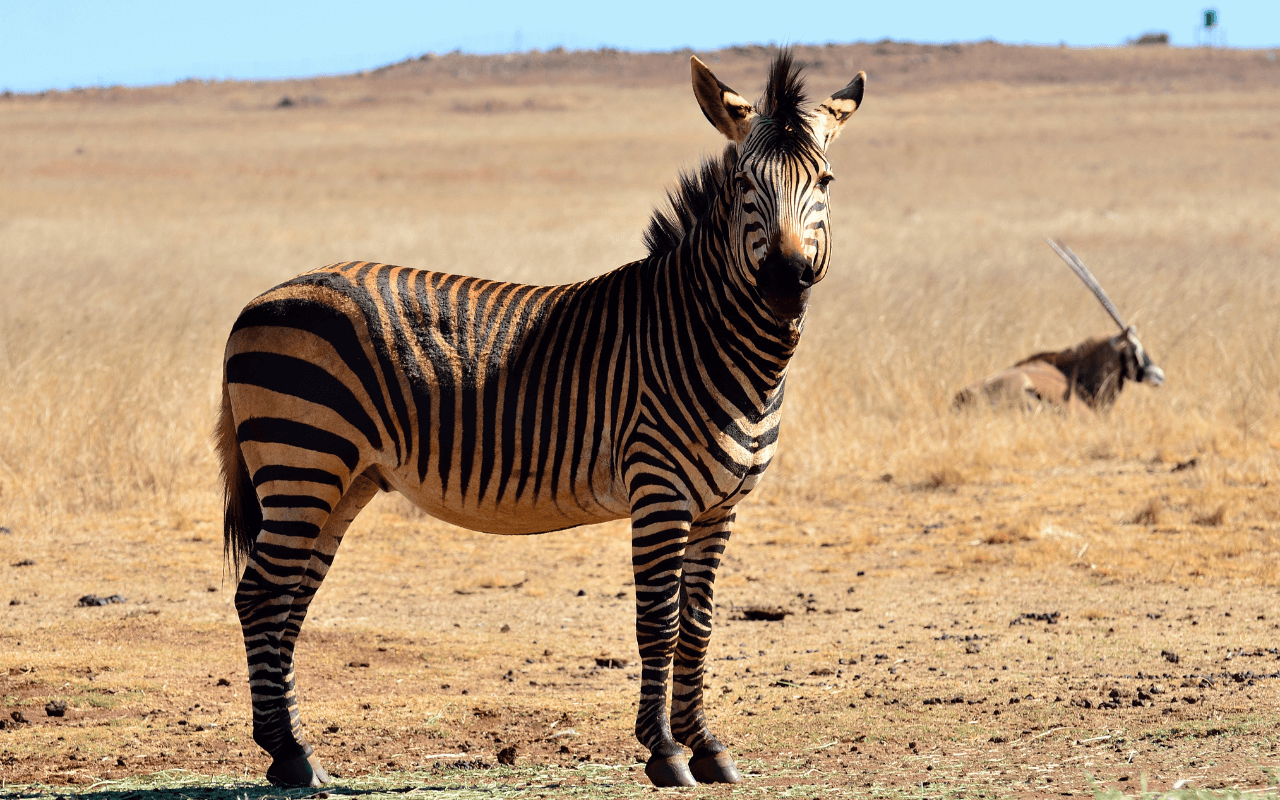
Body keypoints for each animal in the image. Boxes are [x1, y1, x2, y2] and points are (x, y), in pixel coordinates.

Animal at [220, 53, 865, 788]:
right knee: (261, 595)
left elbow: (699, 627)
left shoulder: (720, 506)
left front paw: (708, 746)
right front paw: (665, 752)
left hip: (340, 478)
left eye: (825, 181)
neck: (706, 338)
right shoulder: (660, 491)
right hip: (304, 460)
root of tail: (257, 301)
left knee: (289, 600)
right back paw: (291, 754)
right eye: (744, 183)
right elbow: (660, 622)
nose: (786, 281)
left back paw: (292, 753)